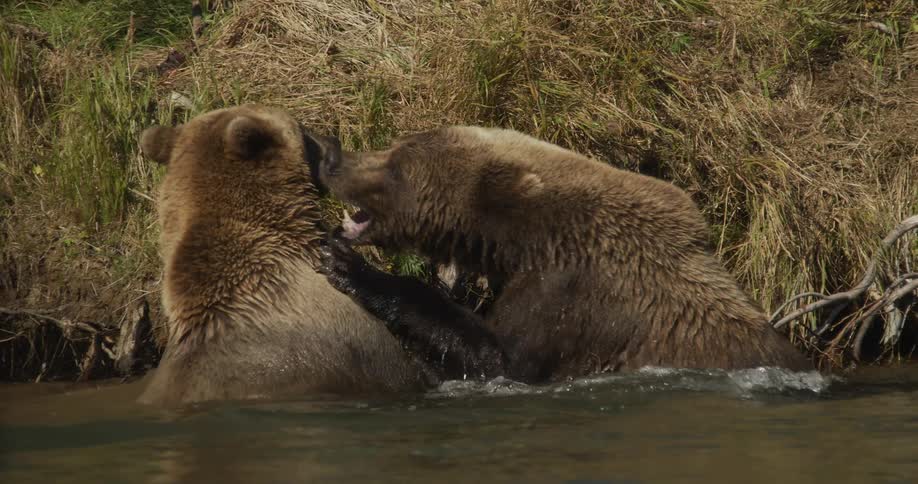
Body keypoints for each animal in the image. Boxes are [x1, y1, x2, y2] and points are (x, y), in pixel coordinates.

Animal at [315, 126, 811, 383]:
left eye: (396, 165)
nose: (331, 157)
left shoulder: (575, 295)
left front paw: (347, 266)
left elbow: (499, 360)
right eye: (393, 146)